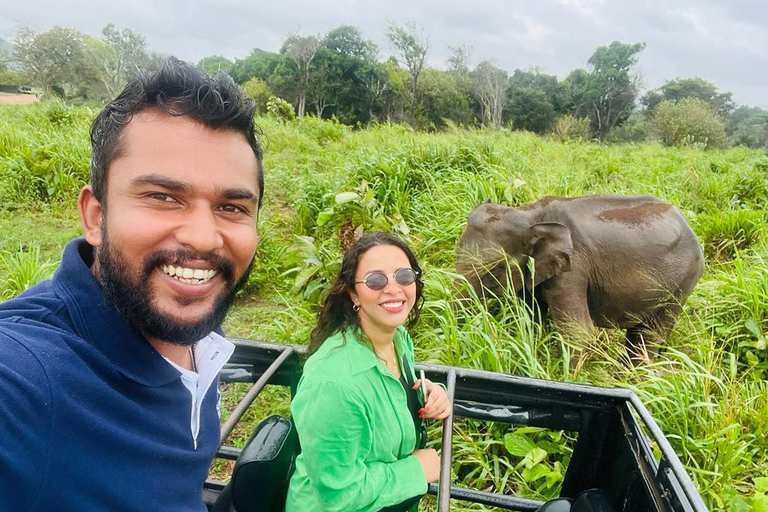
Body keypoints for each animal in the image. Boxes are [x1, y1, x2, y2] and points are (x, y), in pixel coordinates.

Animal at [460, 193, 704, 364]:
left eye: (495, 268)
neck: (530, 214)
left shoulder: (574, 268)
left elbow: (578, 332)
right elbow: (530, 319)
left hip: (683, 284)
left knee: (648, 336)